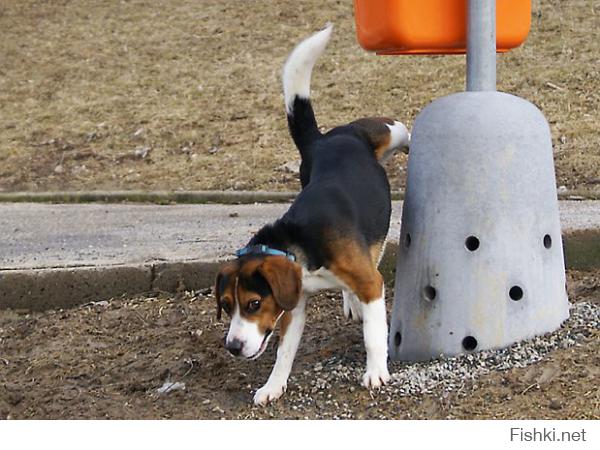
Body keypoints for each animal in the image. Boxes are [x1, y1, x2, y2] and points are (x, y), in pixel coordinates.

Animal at [217, 22, 412, 406]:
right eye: (227, 304)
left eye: (253, 303)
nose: (232, 346)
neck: (296, 245)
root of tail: (322, 140)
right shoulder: (293, 304)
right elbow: (283, 352)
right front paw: (273, 386)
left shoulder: (372, 284)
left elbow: (373, 335)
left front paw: (376, 371)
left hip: (390, 132)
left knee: (405, 130)